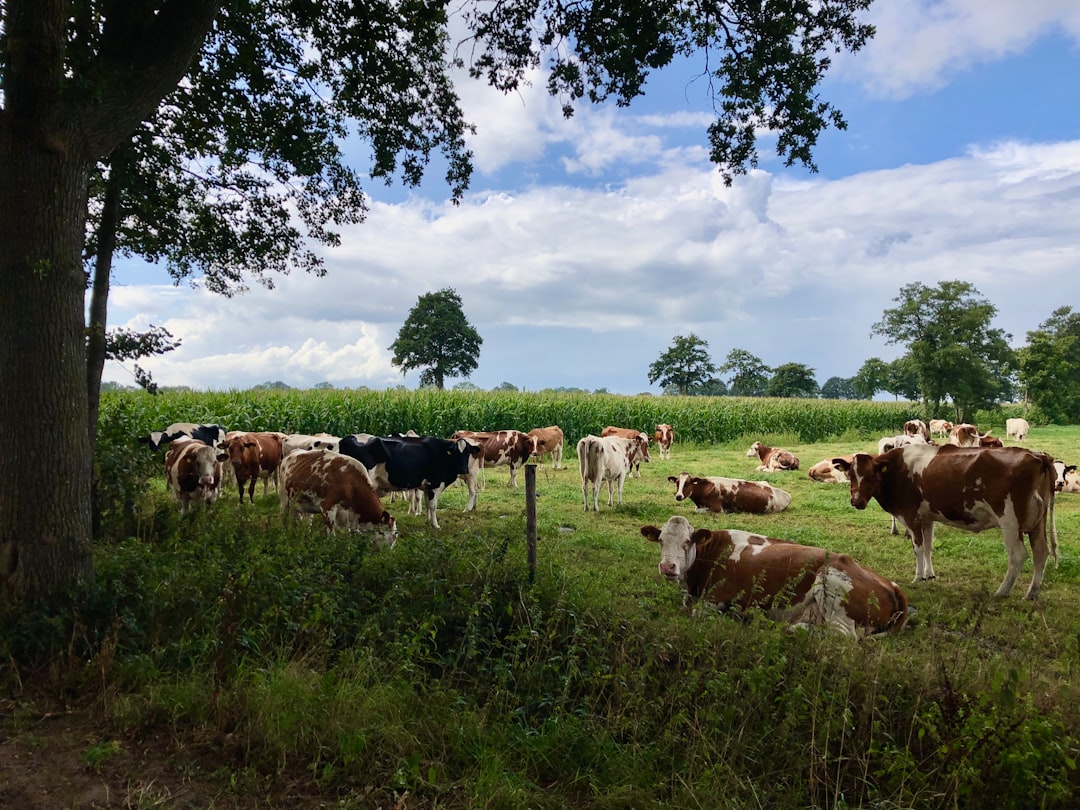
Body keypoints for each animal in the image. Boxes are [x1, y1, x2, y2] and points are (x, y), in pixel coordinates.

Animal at [339, 434, 479, 529]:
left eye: (468, 453)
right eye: (455, 452)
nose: (463, 469)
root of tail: (346, 438)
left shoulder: (427, 486)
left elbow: (427, 504)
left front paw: (428, 521)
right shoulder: (434, 484)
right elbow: (433, 506)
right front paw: (436, 525)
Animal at [639, 516, 911, 639]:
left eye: (687, 542)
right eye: (660, 540)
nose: (668, 567)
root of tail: (891, 584)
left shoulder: (716, 599)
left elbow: (696, 613)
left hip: (832, 586)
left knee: (843, 636)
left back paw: (790, 627)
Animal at [833, 444, 1054, 604]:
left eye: (872, 475)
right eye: (850, 475)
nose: (857, 502)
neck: (897, 469)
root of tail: (1036, 455)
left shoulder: (911, 517)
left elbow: (918, 548)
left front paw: (918, 578)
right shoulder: (927, 518)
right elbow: (929, 547)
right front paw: (929, 575)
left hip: (1009, 521)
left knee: (1018, 555)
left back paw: (1002, 591)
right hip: (1037, 523)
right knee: (1041, 552)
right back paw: (1032, 593)